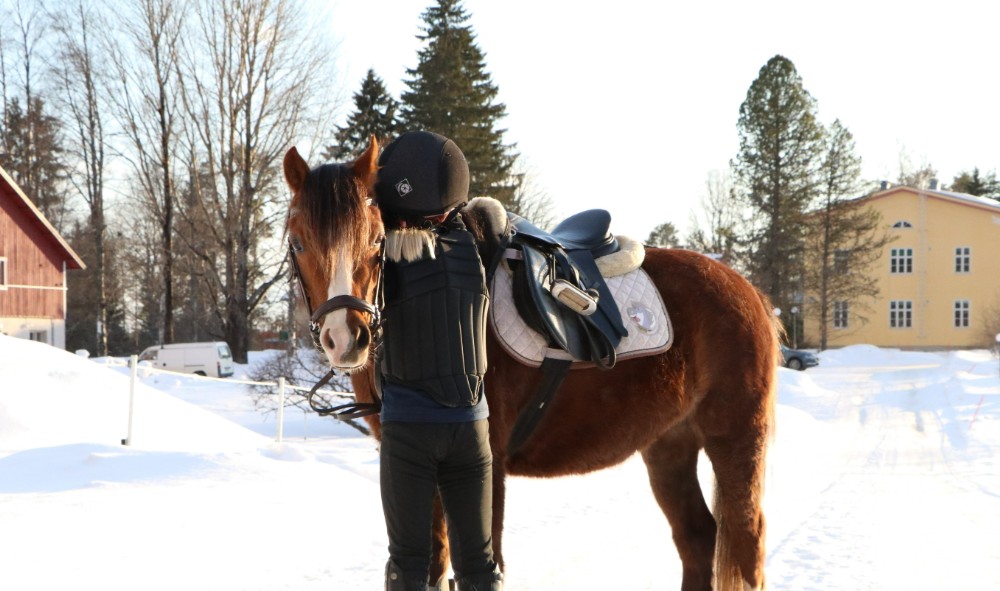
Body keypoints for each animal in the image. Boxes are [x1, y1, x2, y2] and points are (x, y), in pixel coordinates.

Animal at [284, 140, 780, 591]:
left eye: (375, 240)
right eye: (298, 241)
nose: (346, 337)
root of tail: (748, 292)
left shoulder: (488, 469)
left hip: (735, 439)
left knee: (746, 542)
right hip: (669, 445)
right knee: (697, 539)